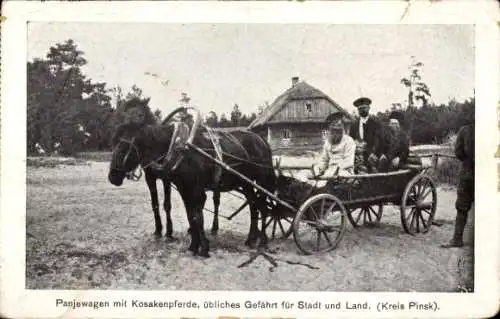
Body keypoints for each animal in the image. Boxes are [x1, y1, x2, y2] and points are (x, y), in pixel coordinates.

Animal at [108, 109, 278, 258]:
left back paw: (262, 240)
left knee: (263, 208)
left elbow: (197, 217)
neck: (179, 147)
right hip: (246, 184)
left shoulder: (196, 191)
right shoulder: (184, 189)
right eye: (114, 144)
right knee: (254, 207)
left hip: (261, 181)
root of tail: (262, 140)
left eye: (125, 146)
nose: (112, 177)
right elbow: (191, 216)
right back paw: (251, 239)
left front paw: (203, 248)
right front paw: (193, 246)